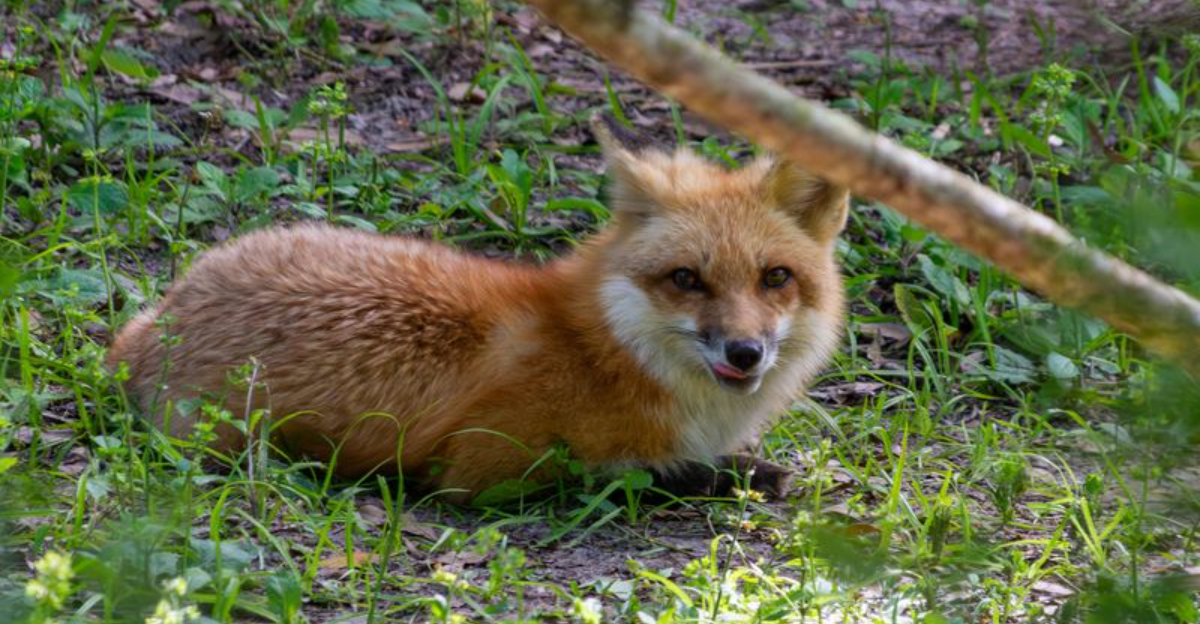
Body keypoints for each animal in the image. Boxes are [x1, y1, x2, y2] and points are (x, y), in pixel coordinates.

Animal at [106, 116, 849, 503]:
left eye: (775, 277)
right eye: (687, 279)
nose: (745, 351)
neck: (607, 351)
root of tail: (166, 311)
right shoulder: (483, 468)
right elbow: (641, 473)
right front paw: (738, 474)